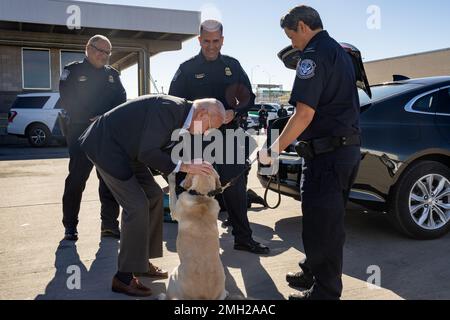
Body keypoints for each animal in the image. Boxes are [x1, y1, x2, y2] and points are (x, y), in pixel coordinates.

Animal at [165, 170, 229, 300]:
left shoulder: (174, 210)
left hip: (173, 276)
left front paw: (171, 176)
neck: (201, 196)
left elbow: (172, 191)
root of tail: (203, 297)